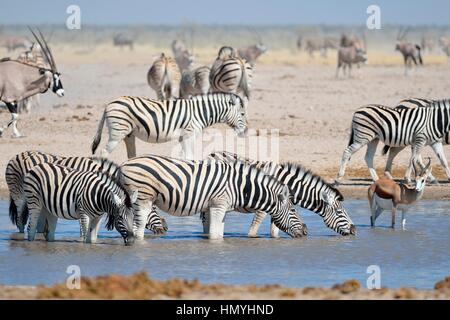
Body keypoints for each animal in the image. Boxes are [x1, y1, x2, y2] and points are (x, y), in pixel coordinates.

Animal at [90, 92, 248, 159]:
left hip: (128, 135)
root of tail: (108, 104)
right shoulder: (189, 133)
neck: (199, 112)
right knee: (103, 152)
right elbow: (190, 156)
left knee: (130, 155)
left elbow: (184, 156)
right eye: (242, 113)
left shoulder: (182, 137)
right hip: (117, 132)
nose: (245, 132)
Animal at [118, 154, 310, 240]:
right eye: (294, 210)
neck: (240, 186)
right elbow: (215, 235)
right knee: (138, 228)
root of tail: (124, 163)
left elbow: (218, 233)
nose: (305, 231)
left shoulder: (220, 208)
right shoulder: (218, 205)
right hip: (142, 198)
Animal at [208, 151, 356, 236]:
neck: (287, 184)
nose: (354, 230)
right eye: (339, 212)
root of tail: (212, 153)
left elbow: (274, 232)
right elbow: (252, 231)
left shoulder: (280, 208)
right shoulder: (264, 207)